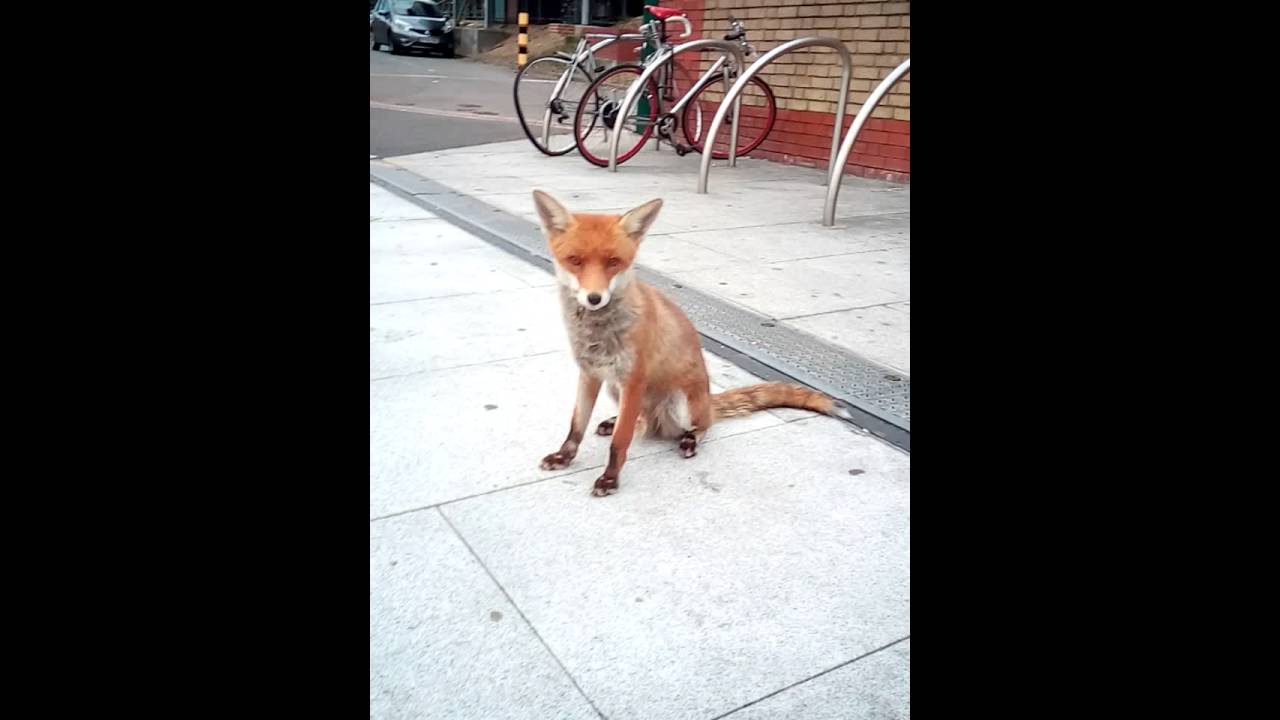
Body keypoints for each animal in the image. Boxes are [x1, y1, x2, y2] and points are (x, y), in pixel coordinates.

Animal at [532, 189, 853, 497]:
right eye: (575, 260)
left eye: (613, 262)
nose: (594, 298)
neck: (597, 333)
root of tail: (707, 401)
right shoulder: (590, 374)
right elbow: (576, 427)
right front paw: (564, 457)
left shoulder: (633, 380)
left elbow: (620, 442)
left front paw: (610, 479)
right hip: (616, 389)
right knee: (641, 422)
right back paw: (618, 421)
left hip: (680, 403)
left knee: (701, 425)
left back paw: (689, 440)